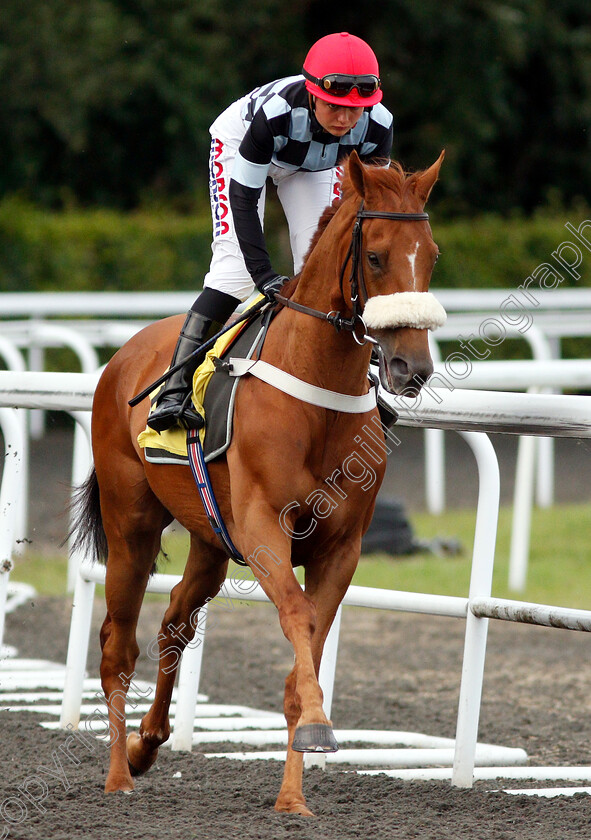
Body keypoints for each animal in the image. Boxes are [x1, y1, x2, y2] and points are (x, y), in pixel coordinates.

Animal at [71, 148, 444, 816]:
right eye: (376, 256)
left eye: (430, 255)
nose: (412, 368)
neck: (317, 397)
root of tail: (126, 353)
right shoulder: (265, 529)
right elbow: (296, 618)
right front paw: (317, 732)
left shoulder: (339, 547)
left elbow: (306, 655)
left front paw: (294, 794)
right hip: (131, 524)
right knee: (118, 644)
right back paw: (117, 775)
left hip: (209, 539)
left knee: (174, 621)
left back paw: (146, 745)